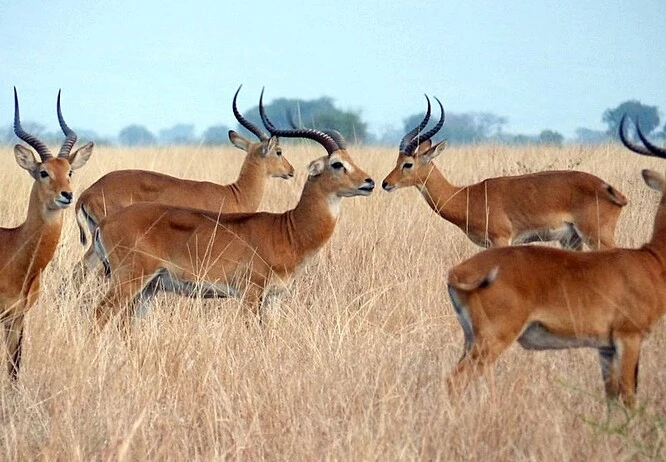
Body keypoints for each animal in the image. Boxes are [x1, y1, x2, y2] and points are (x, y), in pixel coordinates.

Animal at [91, 91, 375, 331]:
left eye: (351, 160)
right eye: (337, 164)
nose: (369, 182)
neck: (287, 230)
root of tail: (105, 222)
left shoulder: (272, 298)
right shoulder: (250, 294)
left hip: (148, 288)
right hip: (129, 280)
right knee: (99, 314)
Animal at [382, 96, 627, 249]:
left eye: (407, 164)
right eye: (397, 160)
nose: (385, 183)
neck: (467, 196)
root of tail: (616, 193)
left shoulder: (500, 240)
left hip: (596, 237)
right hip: (572, 240)